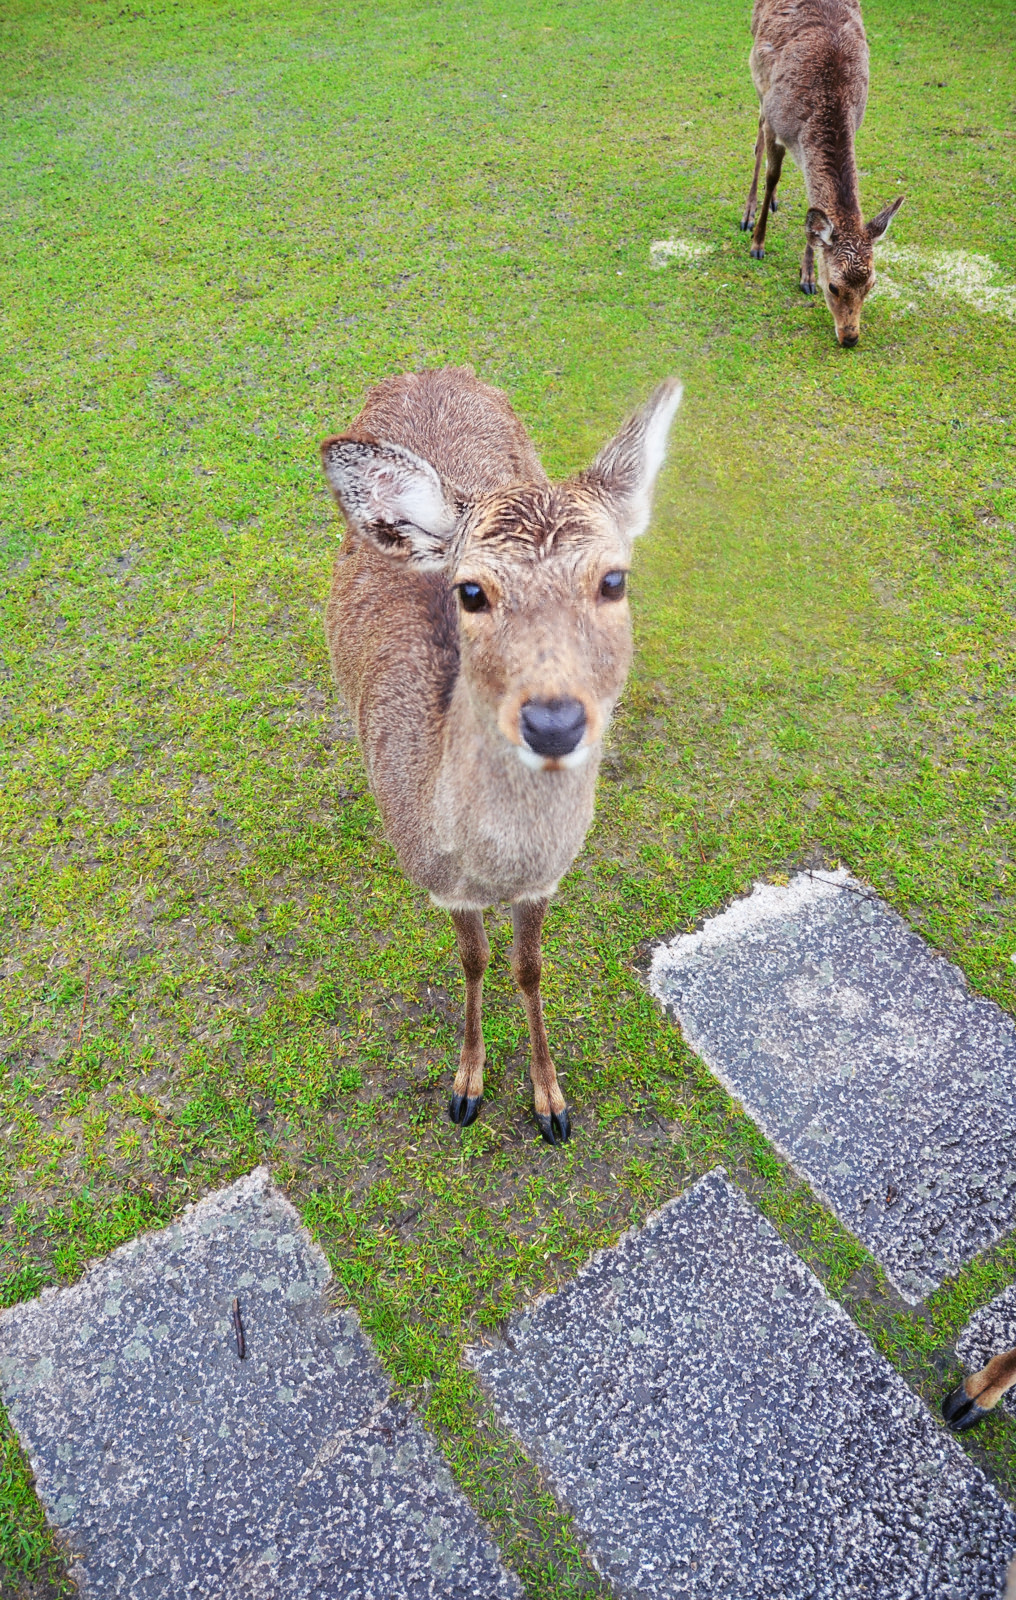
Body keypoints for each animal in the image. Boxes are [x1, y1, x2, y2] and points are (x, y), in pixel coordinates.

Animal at [318, 368, 684, 1145]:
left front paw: (551, 1102)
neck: (491, 866)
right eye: (471, 590)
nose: (553, 721)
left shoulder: (547, 880)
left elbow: (529, 968)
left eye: (615, 580)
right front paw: (466, 1087)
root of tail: (428, 369)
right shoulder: (440, 884)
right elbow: (474, 959)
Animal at [739, 0, 908, 347]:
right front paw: (758, 244)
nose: (850, 337)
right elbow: (772, 174)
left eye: (871, 285)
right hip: (759, 79)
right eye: (833, 286)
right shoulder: (777, 122)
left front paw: (806, 275)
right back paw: (748, 213)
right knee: (758, 136)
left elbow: (814, 211)